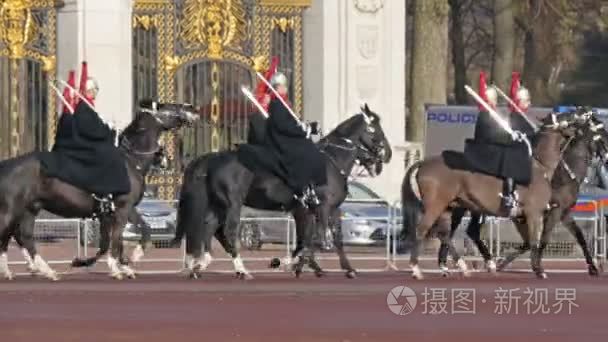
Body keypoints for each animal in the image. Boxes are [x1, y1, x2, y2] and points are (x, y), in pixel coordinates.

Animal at [0, 101, 197, 280]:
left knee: (24, 237)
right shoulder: (122, 209)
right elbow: (116, 240)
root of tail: (7, 164)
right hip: (13, 210)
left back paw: (44, 270)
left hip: (29, 209)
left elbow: (133, 234)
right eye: (171, 106)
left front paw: (121, 263)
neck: (130, 162)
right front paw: (119, 266)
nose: (193, 109)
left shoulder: (115, 212)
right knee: (10, 235)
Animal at [172, 105, 390, 280]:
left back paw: (201, 265)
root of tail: (212, 158)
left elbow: (325, 238)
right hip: (232, 204)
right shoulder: (322, 207)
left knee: (210, 227)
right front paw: (289, 263)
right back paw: (241, 270)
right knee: (228, 231)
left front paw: (343, 269)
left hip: (218, 204)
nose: (386, 155)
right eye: (373, 129)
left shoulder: (316, 210)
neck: (330, 162)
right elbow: (316, 239)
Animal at [402, 111, 588, 280]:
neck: (540, 166)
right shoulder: (534, 214)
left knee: (444, 234)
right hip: (436, 206)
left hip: (447, 208)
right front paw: (538, 270)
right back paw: (417, 269)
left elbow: (529, 242)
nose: (584, 120)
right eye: (567, 117)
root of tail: (423, 162)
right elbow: (535, 241)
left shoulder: (522, 217)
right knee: (422, 230)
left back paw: (461, 267)